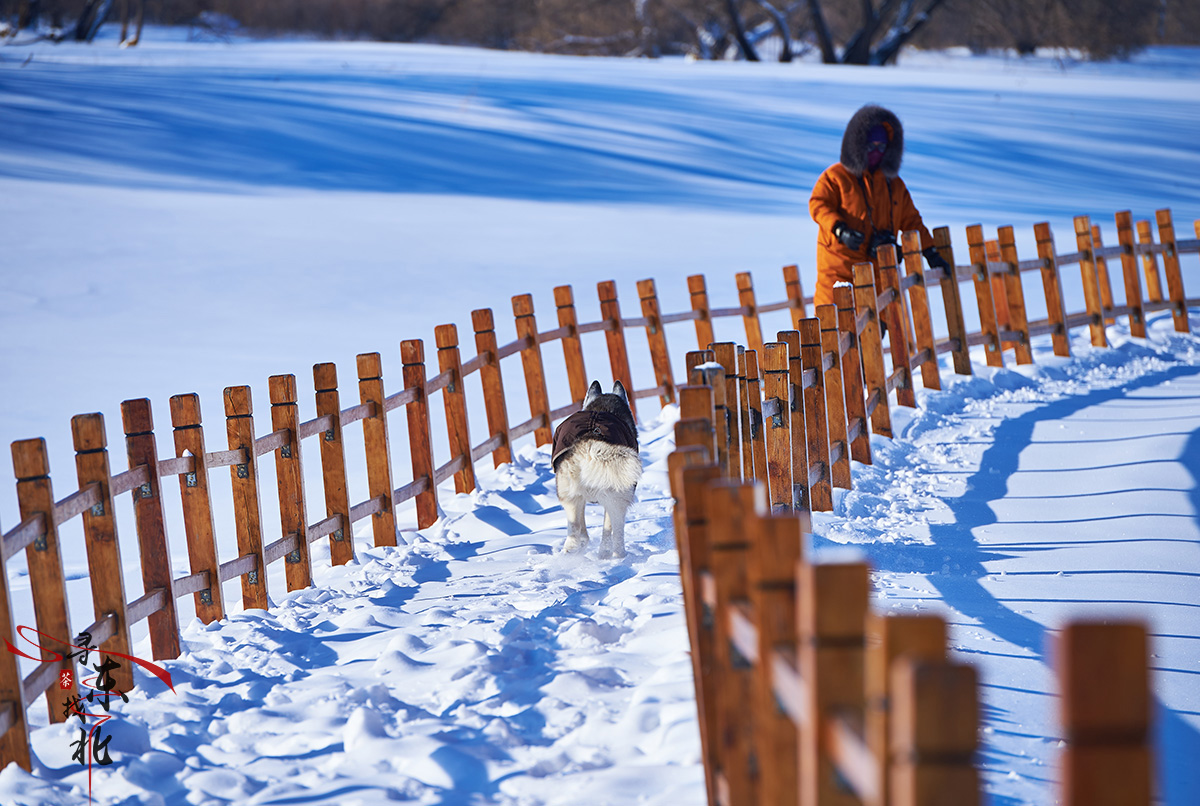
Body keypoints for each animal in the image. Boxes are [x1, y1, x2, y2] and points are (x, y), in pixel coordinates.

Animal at [552, 379, 643, 556]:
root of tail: (588, 440)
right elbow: (608, 528)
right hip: (618, 497)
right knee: (617, 534)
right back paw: (617, 555)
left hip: (569, 495)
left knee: (574, 530)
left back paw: (571, 551)